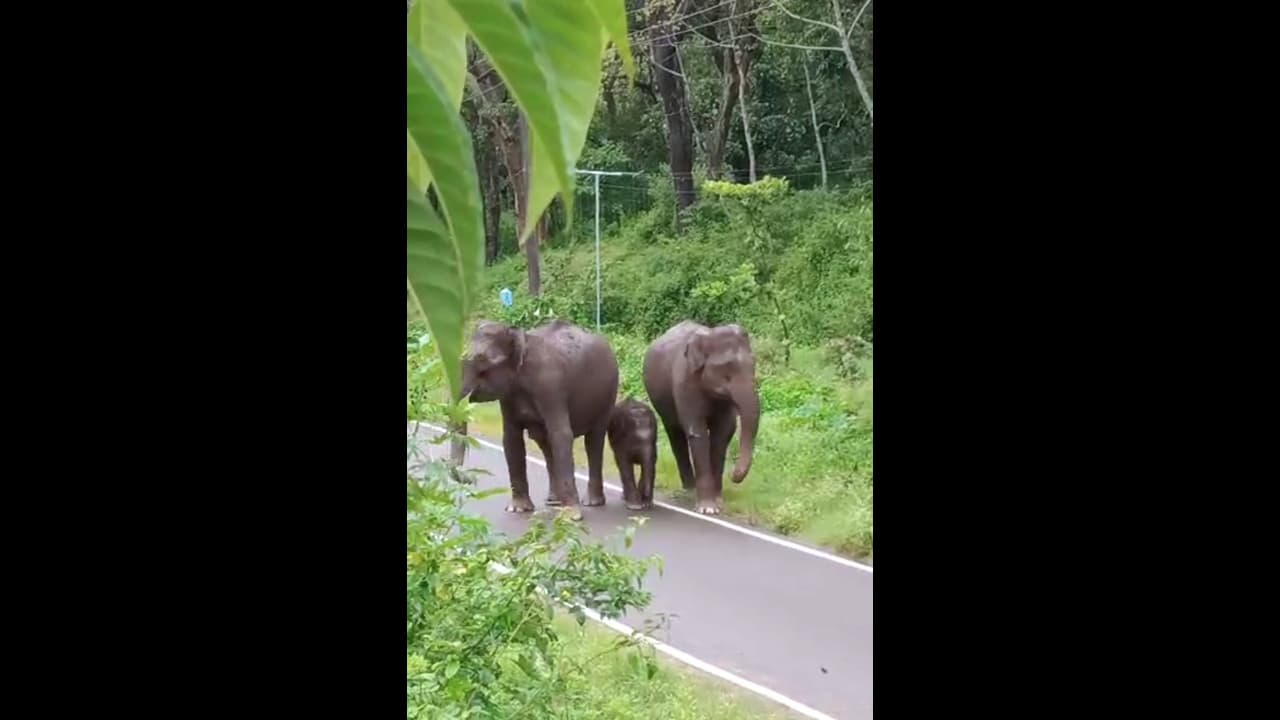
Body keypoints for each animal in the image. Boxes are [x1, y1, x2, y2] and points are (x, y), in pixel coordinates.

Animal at [460, 319, 619, 517]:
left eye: (482, 359)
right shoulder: (508, 396)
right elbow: (511, 439)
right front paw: (518, 509)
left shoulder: (551, 386)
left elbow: (562, 435)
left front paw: (572, 515)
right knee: (545, 443)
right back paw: (554, 501)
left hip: (609, 394)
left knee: (594, 440)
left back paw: (592, 502)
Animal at [642, 321, 760, 515]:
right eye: (726, 369)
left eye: (754, 364)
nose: (733, 474)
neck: (709, 334)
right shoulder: (685, 381)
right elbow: (697, 432)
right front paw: (707, 508)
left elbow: (723, 433)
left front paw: (718, 502)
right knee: (675, 434)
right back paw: (689, 490)